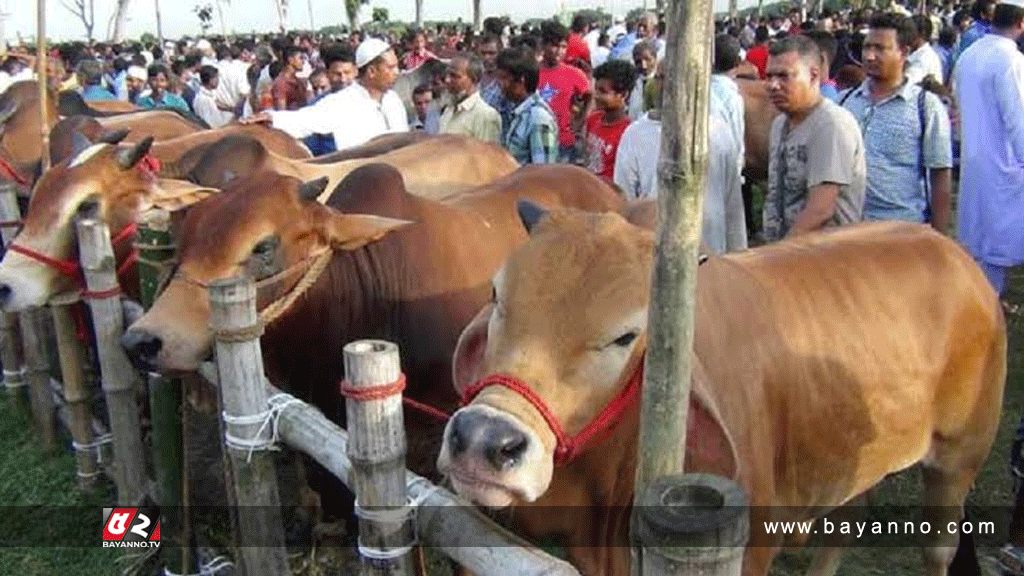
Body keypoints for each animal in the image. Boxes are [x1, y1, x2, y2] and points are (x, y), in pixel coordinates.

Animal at [438, 208, 999, 573]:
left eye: (625, 336)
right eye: (497, 295)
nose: (485, 440)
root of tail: (952, 251)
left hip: (958, 462)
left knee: (937, 549)